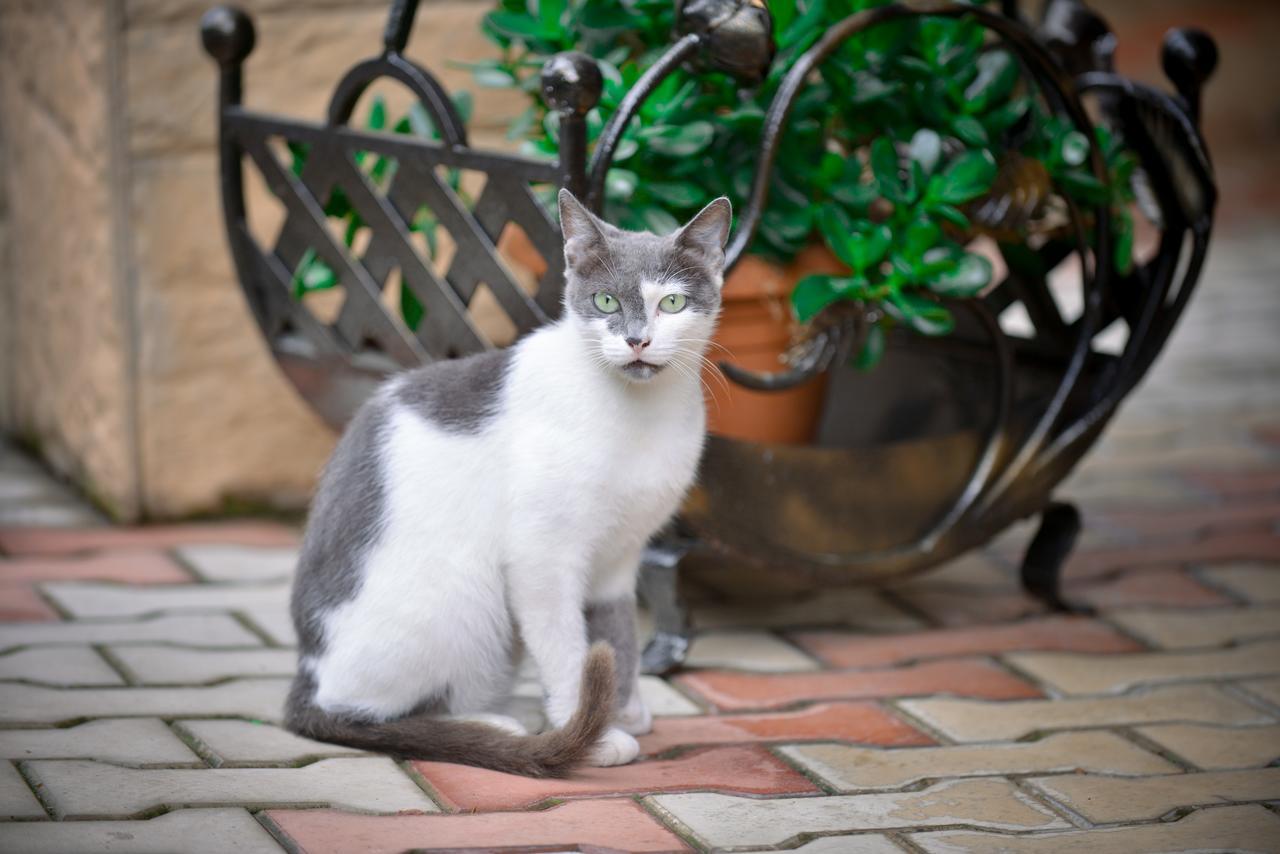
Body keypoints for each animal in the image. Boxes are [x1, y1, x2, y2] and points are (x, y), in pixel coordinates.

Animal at [286, 190, 737, 778]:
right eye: (606, 302)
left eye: (673, 304)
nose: (638, 340)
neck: (641, 416)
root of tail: (308, 668)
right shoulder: (542, 556)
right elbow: (567, 648)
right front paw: (592, 732)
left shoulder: (621, 553)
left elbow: (617, 631)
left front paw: (622, 708)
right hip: (466, 598)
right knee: (373, 710)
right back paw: (501, 725)